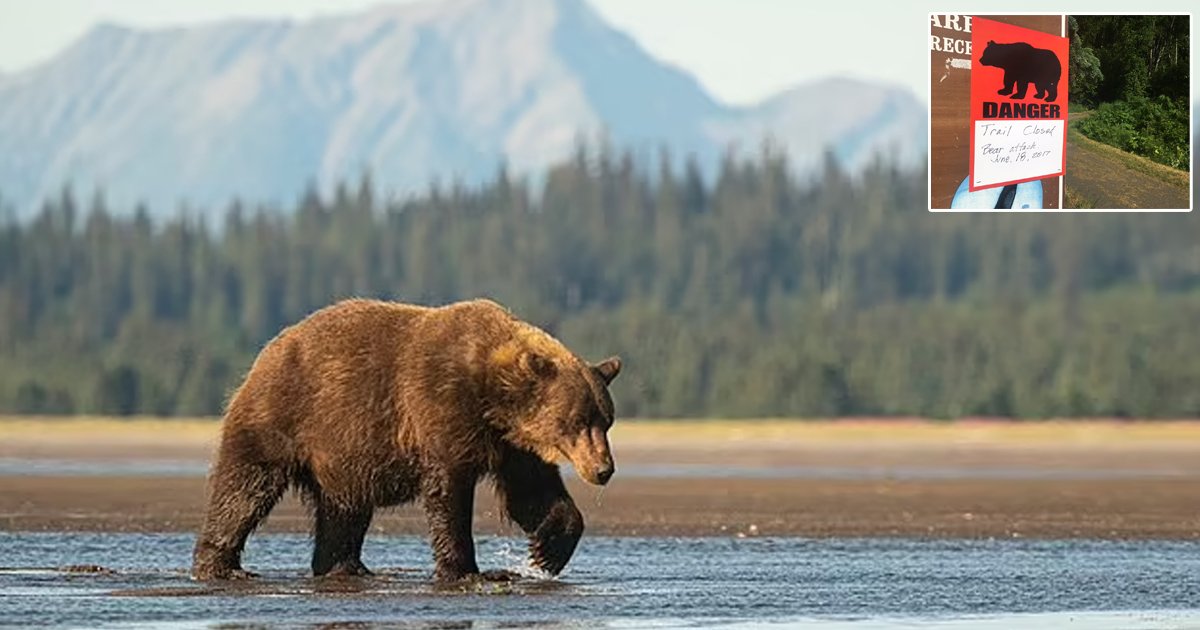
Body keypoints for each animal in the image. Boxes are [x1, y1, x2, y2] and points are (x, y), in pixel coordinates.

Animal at [189, 297, 619, 583]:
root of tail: (269, 349)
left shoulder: (510, 444)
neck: (491, 396)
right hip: (284, 416)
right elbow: (448, 494)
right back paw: (221, 566)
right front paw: (467, 570)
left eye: (607, 420)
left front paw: (546, 552)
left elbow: (532, 494)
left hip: (342, 455)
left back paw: (346, 566)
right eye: (578, 420)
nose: (604, 469)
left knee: (343, 511)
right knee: (244, 489)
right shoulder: (441, 408)